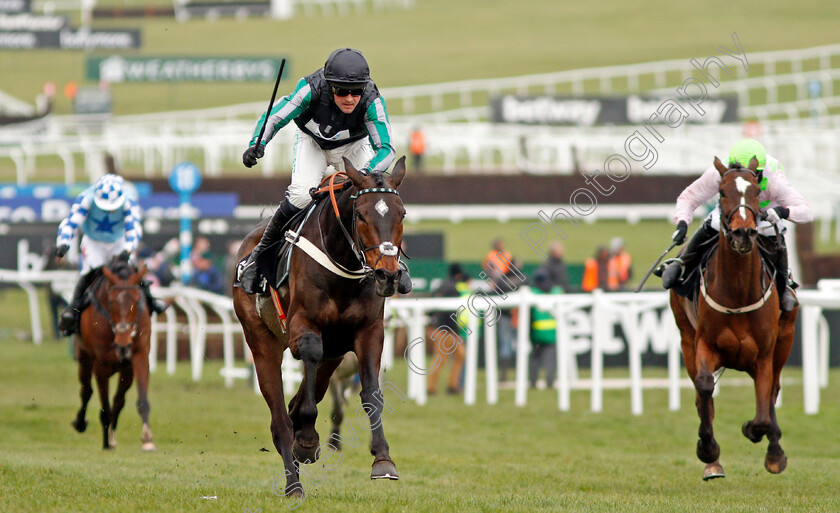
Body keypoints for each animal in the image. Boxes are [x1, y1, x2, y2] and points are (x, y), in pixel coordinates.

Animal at [70, 258, 156, 450]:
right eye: (110, 302)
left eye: (136, 300)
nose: (122, 344)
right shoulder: (100, 365)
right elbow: (104, 407)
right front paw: (106, 443)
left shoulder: (139, 357)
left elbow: (141, 401)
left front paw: (147, 439)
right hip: (84, 358)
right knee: (86, 391)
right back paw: (81, 423)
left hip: (125, 370)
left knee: (118, 400)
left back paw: (112, 435)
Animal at [235, 156, 408, 496]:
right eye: (360, 214)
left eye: (402, 213)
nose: (388, 275)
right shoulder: (302, 327)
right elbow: (310, 359)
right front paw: (306, 440)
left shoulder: (369, 331)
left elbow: (371, 393)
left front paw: (383, 460)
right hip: (261, 342)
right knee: (280, 417)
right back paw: (293, 480)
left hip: (336, 353)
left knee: (301, 399)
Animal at [672, 157, 796, 480]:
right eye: (721, 192)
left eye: (756, 191)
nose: (743, 234)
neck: (738, 292)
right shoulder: (704, 343)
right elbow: (704, 387)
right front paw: (708, 450)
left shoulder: (764, 354)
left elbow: (763, 413)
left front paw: (757, 434)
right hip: (685, 337)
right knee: (702, 392)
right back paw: (712, 462)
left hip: (785, 340)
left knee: (773, 391)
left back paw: (775, 452)